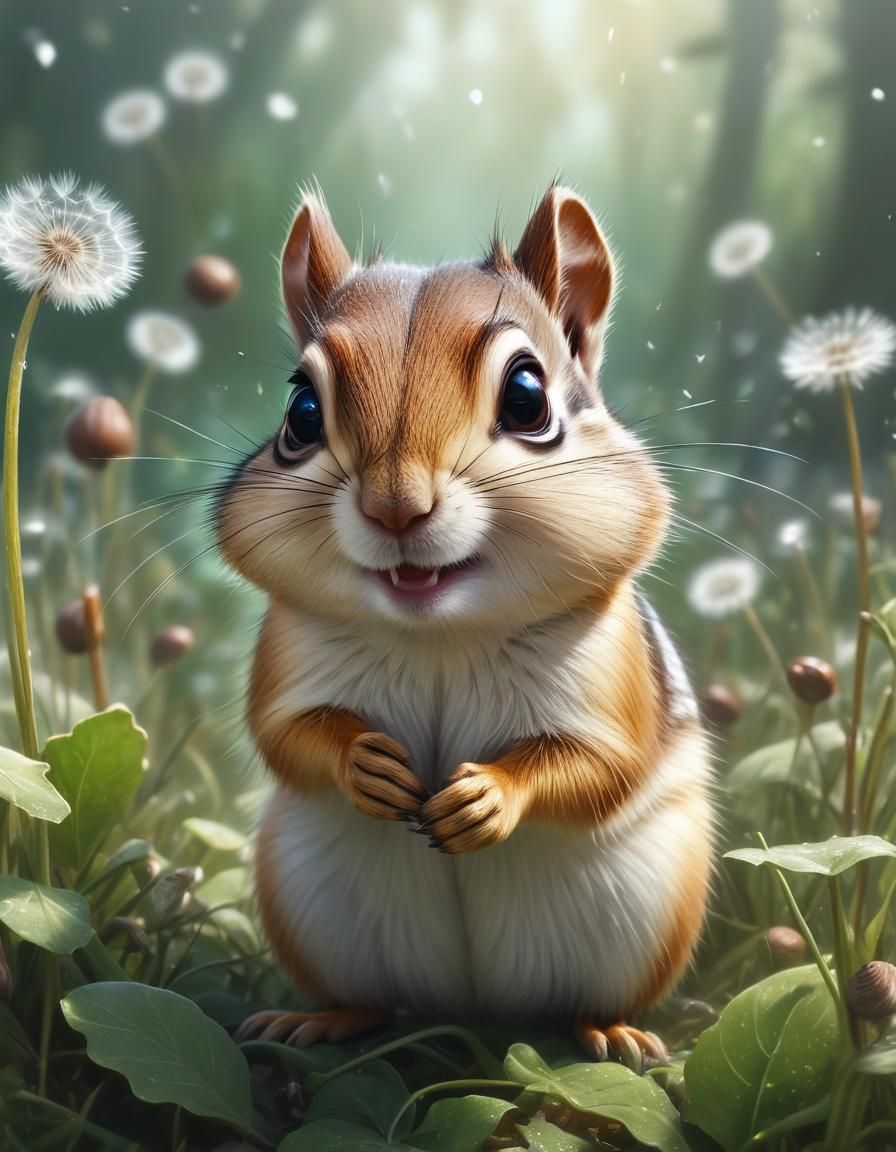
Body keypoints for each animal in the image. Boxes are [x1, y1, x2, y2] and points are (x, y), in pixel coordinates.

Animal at [220, 185, 713, 1065]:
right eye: (300, 411)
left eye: (527, 397)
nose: (396, 507)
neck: (438, 634)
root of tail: (471, 1009)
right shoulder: (287, 655)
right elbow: (285, 735)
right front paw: (364, 765)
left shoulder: (612, 676)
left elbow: (600, 765)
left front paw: (489, 795)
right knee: (368, 998)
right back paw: (317, 1019)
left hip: (653, 913)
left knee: (590, 1002)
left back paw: (614, 1031)